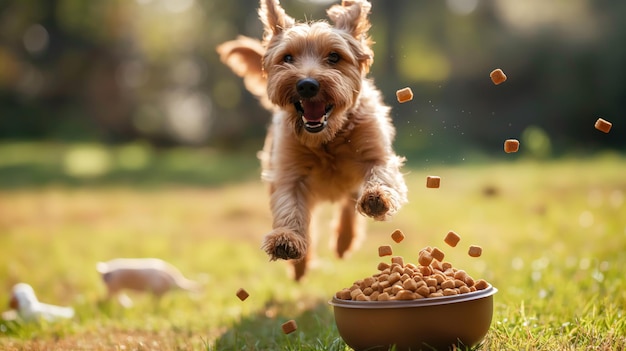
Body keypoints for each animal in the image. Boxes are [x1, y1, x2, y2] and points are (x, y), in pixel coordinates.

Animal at [217, 0, 408, 280]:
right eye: (287, 58)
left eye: (334, 57)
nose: (307, 85)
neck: (327, 139)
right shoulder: (289, 174)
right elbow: (290, 208)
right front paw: (286, 240)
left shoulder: (376, 154)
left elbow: (381, 175)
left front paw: (376, 197)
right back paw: (301, 266)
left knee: (348, 205)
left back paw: (344, 241)